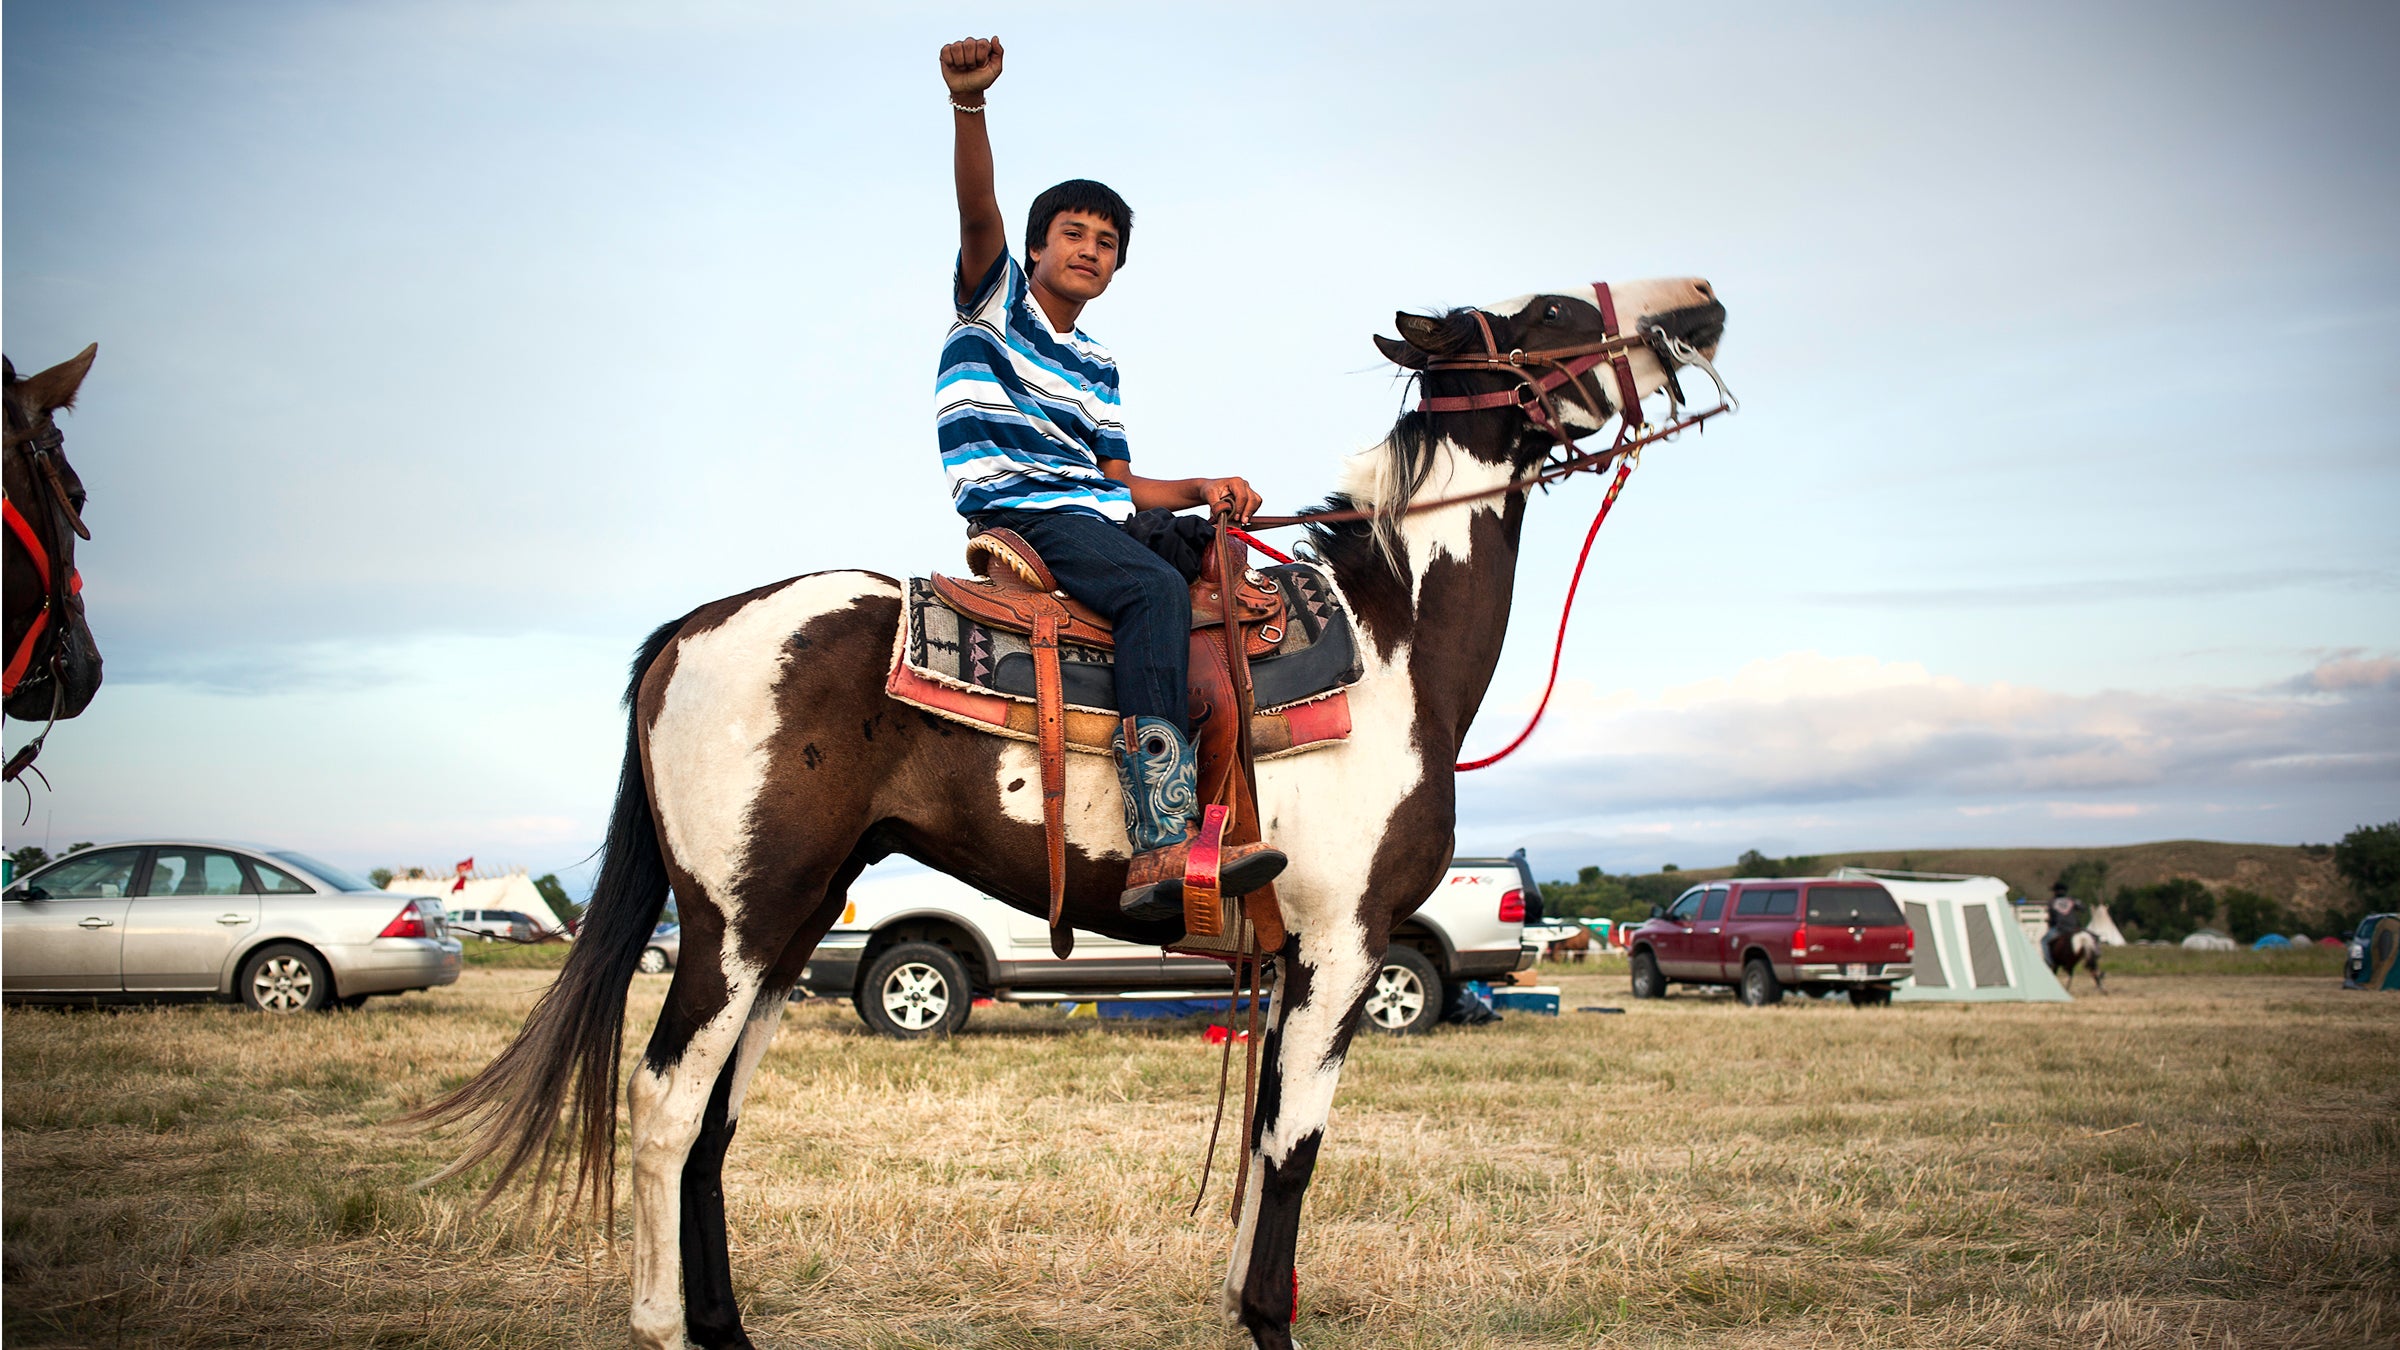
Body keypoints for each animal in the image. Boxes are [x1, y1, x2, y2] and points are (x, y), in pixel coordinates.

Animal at [432, 276, 1728, 1345]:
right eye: (1551, 310)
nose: (1701, 310)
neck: (1391, 644)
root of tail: (694, 630)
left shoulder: (1292, 958)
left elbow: (1265, 1140)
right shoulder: (1344, 945)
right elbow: (1293, 1153)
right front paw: (1269, 1324)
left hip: (788, 925)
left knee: (713, 1122)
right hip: (732, 922)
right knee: (664, 1103)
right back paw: (662, 1326)